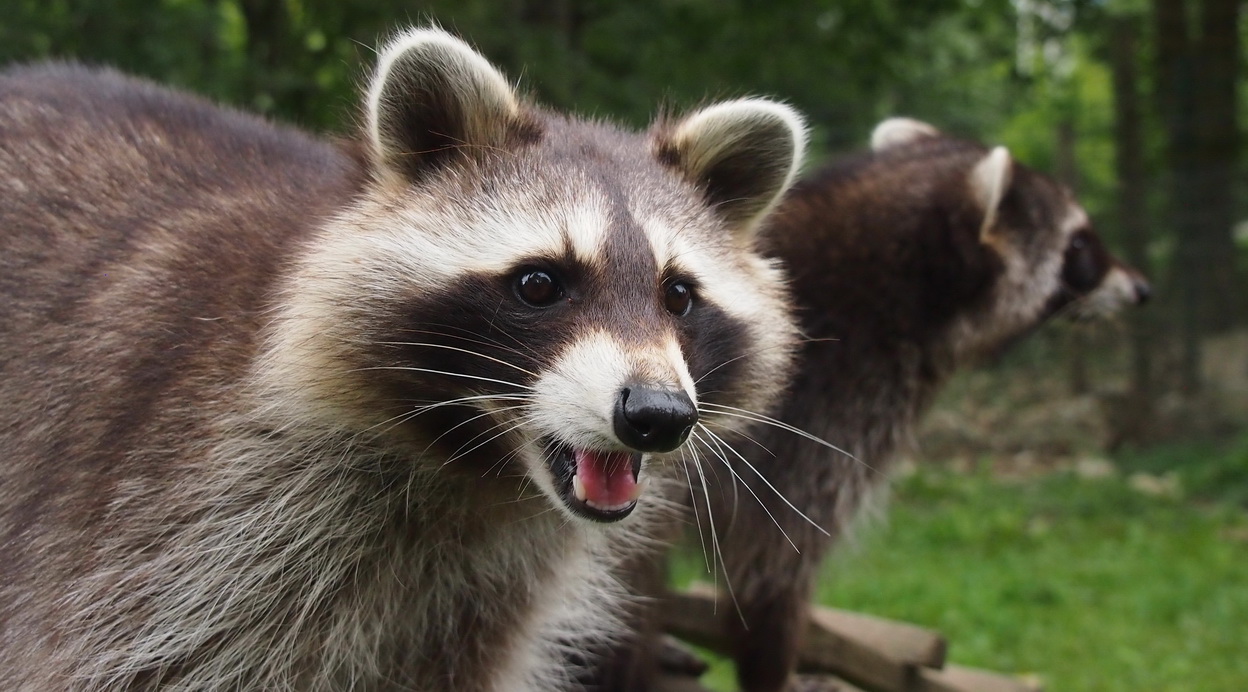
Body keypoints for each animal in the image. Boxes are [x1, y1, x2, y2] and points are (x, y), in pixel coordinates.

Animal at [0, 26, 803, 689]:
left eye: (678, 296)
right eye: (540, 283)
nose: (657, 414)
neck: (474, 469)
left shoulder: (475, 611)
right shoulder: (169, 538)